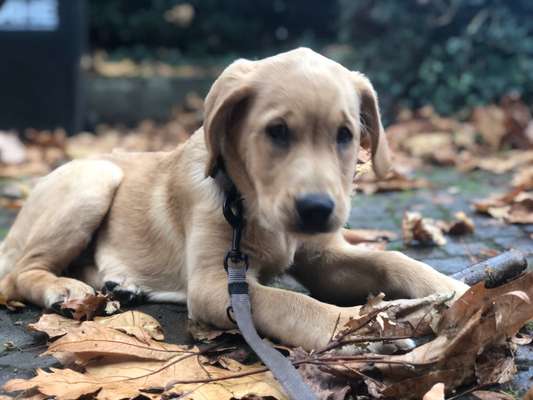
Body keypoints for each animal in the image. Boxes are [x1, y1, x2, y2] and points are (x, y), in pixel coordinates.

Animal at [0, 49, 466, 350]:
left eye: (345, 135)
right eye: (277, 131)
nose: (317, 210)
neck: (250, 205)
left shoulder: (323, 259)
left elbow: (392, 259)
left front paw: (454, 290)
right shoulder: (215, 283)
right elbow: (292, 303)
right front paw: (359, 328)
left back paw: (122, 285)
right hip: (94, 178)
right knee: (22, 273)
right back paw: (61, 287)